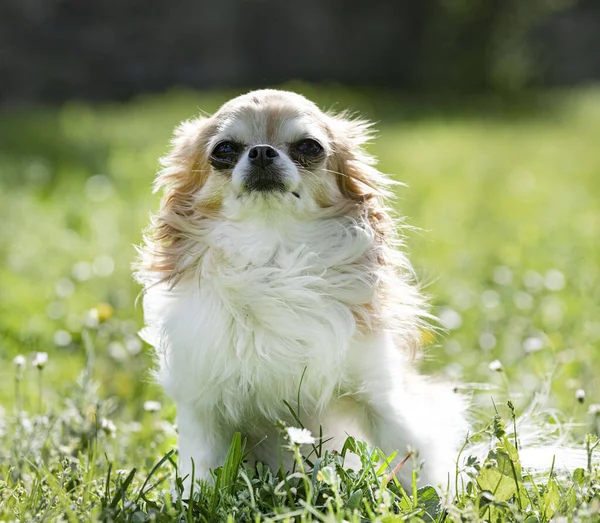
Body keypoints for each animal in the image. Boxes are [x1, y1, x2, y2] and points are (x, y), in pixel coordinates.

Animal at [134, 88, 476, 494]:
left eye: (309, 147)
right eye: (224, 149)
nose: (262, 151)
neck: (274, 257)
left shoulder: (379, 394)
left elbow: (413, 458)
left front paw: (439, 500)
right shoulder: (202, 407)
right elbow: (202, 474)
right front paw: (195, 499)